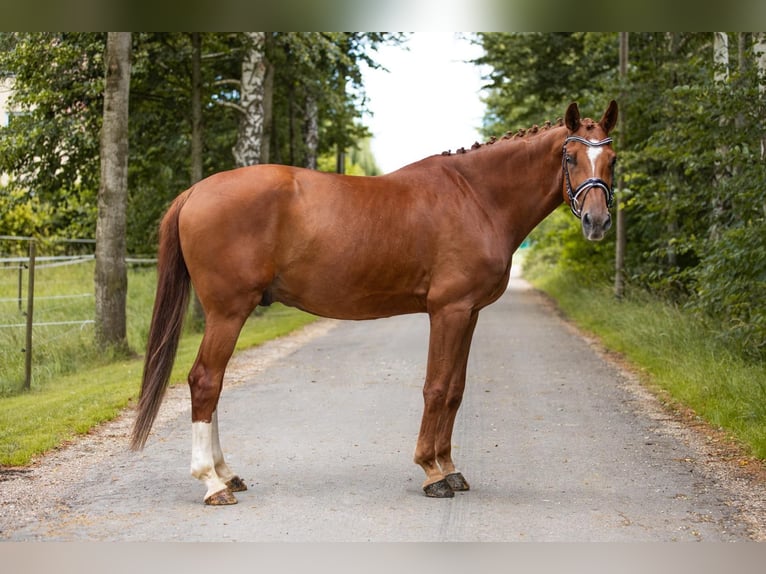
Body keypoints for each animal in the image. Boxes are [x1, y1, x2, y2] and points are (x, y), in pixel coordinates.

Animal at [132, 101, 620, 506]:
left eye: (612, 159)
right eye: (571, 158)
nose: (596, 221)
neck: (476, 197)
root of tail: (195, 192)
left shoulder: (470, 314)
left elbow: (456, 390)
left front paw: (451, 468)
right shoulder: (448, 311)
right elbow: (436, 388)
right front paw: (431, 472)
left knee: (213, 385)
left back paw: (226, 473)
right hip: (228, 311)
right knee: (205, 381)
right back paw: (212, 482)